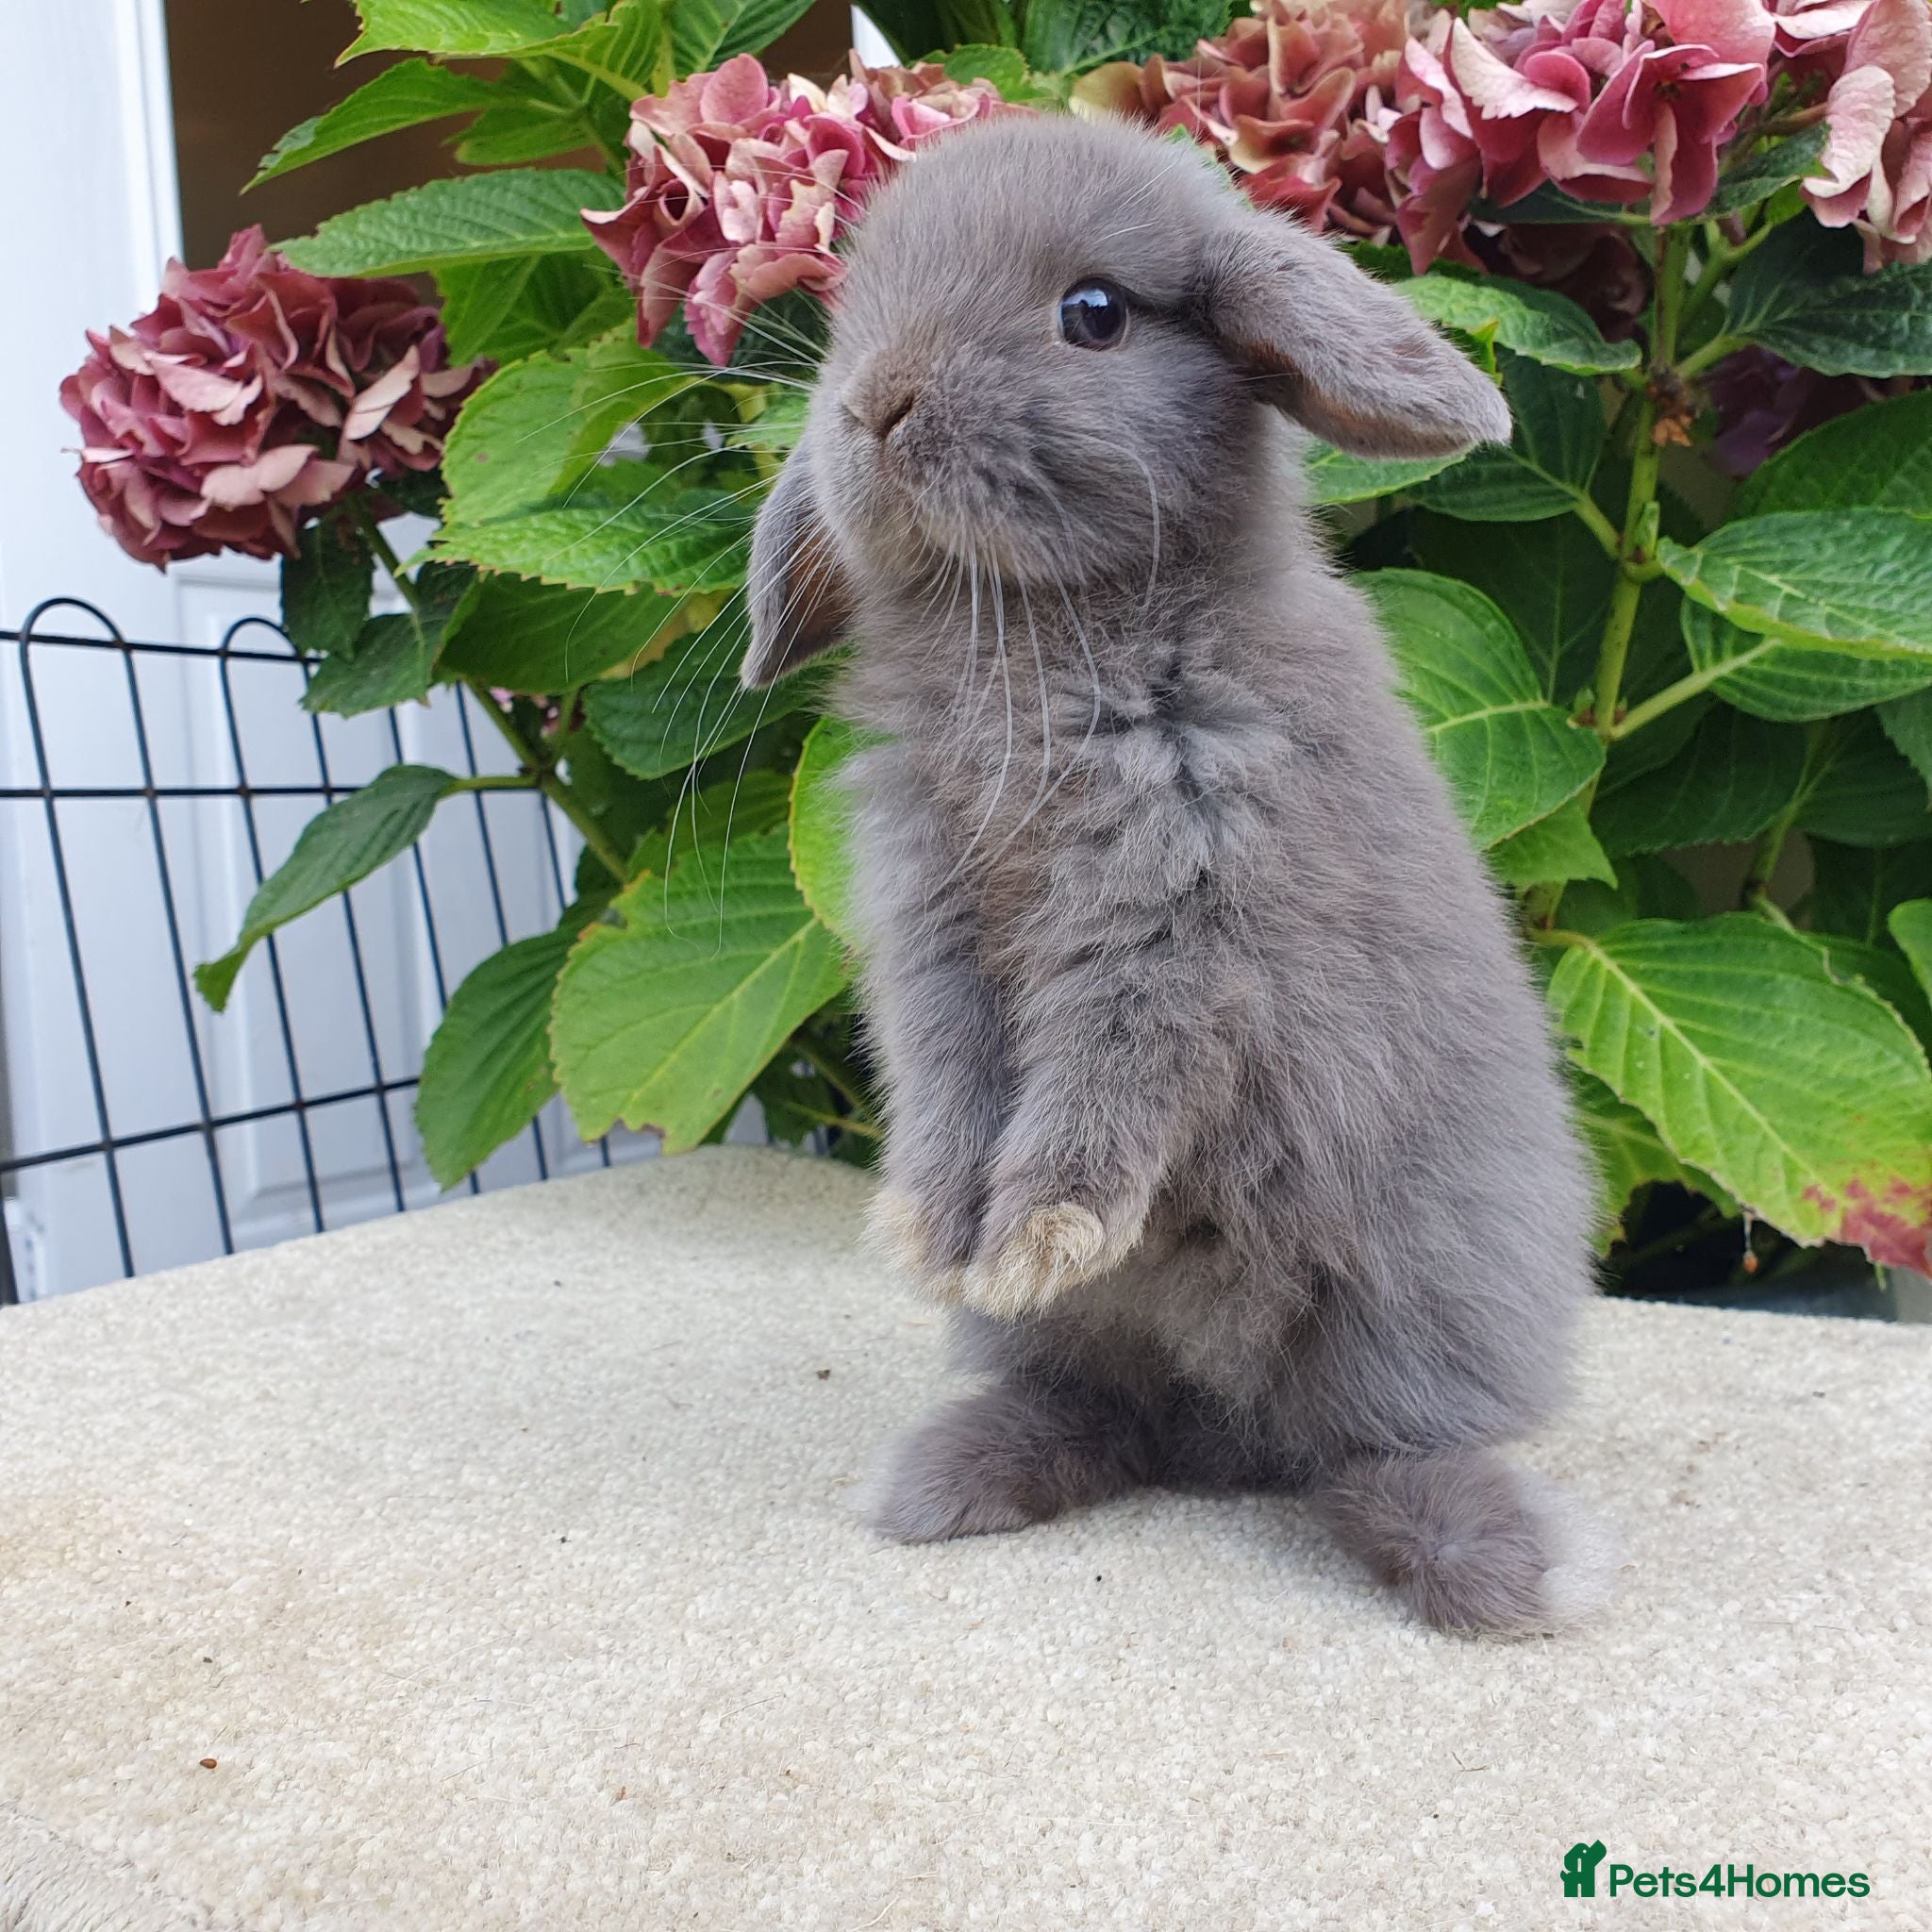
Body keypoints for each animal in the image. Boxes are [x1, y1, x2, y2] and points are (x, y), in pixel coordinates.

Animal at [739, 111, 1610, 1636]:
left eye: (1094, 313)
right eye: (847, 314)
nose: (874, 407)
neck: (1037, 634)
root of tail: (1231, 1447)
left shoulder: (1176, 920)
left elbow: (1110, 1086)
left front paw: (1036, 1238)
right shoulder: (928, 932)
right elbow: (950, 1080)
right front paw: (932, 1235)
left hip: (1400, 1312)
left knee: (1379, 1447)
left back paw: (1504, 1561)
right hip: (1094, 1362)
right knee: (1107, 1416)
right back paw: (947, 1476)